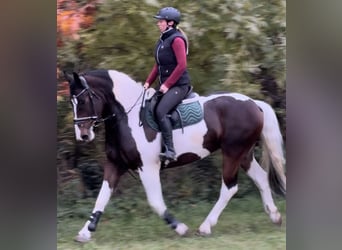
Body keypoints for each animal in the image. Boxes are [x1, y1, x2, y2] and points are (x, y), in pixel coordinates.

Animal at [64, 69, 286, 242]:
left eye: (82, 100)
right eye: (71, 102)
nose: (83, 135)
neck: (128, 116)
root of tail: (253, 103)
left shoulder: (148, 167)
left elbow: (155, 202)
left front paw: (180, 228)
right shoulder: (115, 164)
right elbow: (101, 198)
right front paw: (85, 232)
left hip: (232, 152)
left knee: (229, 188)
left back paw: (205, 227)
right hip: (244, 154)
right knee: (261, 178)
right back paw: (274, 216)